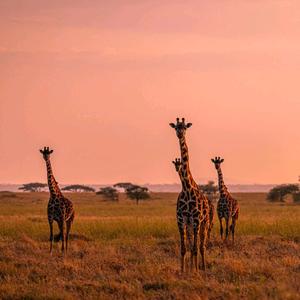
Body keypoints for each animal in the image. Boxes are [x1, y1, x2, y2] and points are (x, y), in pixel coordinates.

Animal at [170, 118, 210, 270]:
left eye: (185, 127)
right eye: (176, 127)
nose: (180, 134)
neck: (186, 188)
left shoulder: (197, 220)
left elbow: (195, 248)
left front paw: (195, 271)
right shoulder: (181, 220)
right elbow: (184, 248)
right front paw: (183, 271)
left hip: (204, 222)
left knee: (201, 246)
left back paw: (202, 267)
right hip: (190, 224)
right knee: (193, 245)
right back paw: (192, 267)